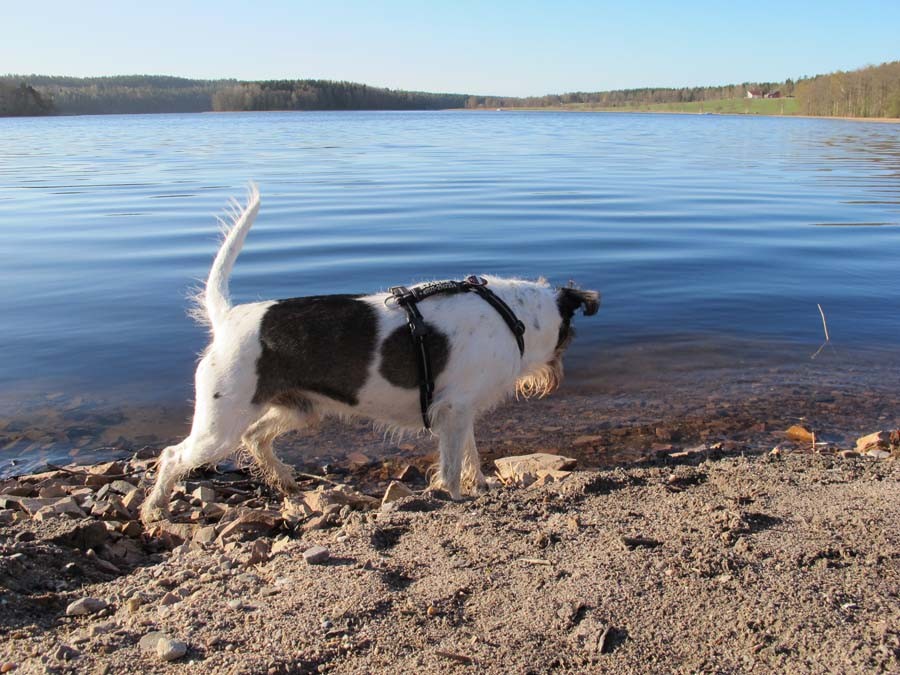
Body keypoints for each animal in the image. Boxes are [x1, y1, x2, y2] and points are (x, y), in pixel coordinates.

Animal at [141, 187, 600, 524]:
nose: (556, 377)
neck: (512, 316)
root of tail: (228, 318)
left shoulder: (460, 412)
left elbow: (470, 453)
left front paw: (480, 485)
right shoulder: (454, 409)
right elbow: (453, 466)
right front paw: (455, 497)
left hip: (298, 409)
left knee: (256, 437)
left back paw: (285, 480)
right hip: (218, 426)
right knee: (172, 456)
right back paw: (153, 508)